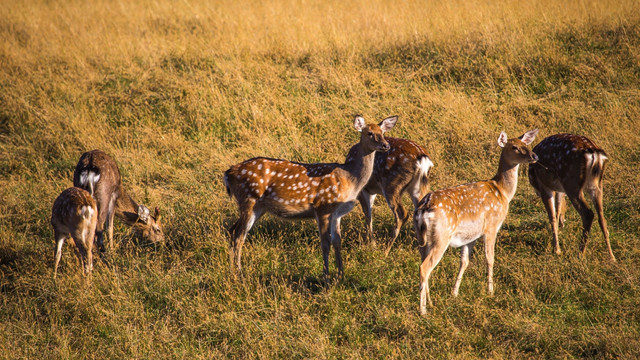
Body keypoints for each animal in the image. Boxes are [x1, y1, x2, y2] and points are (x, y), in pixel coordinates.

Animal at [222, 116, 398, 280]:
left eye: (383, 133)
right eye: (369, 133)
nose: (386, 146)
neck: (350, 179)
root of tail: (228, 174)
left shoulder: (337, 213)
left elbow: (337, 242)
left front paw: (341, 274)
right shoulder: (323, 207)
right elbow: (325, 243)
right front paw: (326, 277)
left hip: (258, 207)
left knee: (232, 231)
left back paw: (232, 271)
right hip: (248, 199)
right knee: (238, 235)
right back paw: (239, 273)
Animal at [412, 129, 536, 316]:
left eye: (526, 144)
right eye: (514, 147)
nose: (534, 155)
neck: (502, 191)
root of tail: (424, 208)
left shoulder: (470, 237)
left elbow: (464, 262)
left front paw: (454, 293)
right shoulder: (491, 226)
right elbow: (490, 258)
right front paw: (490, 291)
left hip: (421, 237)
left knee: (423, 264)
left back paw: (431, 303)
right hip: (442, 236)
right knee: (424, 268)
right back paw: (423, 311)